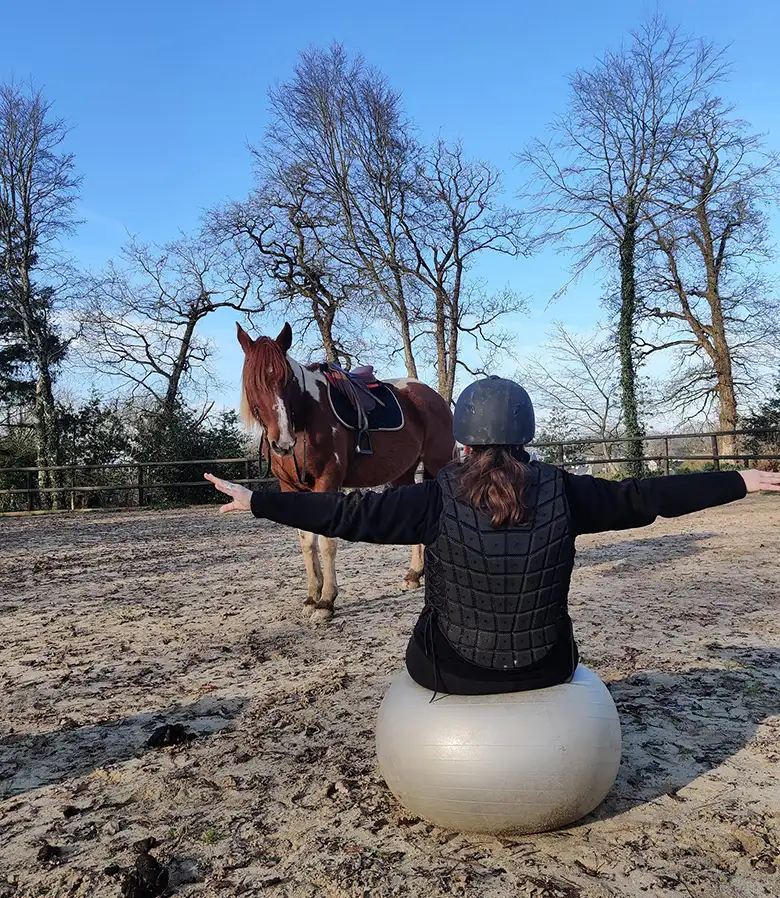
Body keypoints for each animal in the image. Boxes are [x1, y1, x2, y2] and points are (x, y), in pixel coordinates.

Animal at [238, 322, 458, 624]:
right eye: (253, 381)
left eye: (287, 379)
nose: (282, 442)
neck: (307, 417)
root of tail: (433, 397)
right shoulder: (291, 488)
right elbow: (307, 541)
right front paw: (311, 597)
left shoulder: (328, 483)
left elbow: (327, 542)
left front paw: (326, 602)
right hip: (404, 473)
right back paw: (413, 575)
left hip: (437, 464)